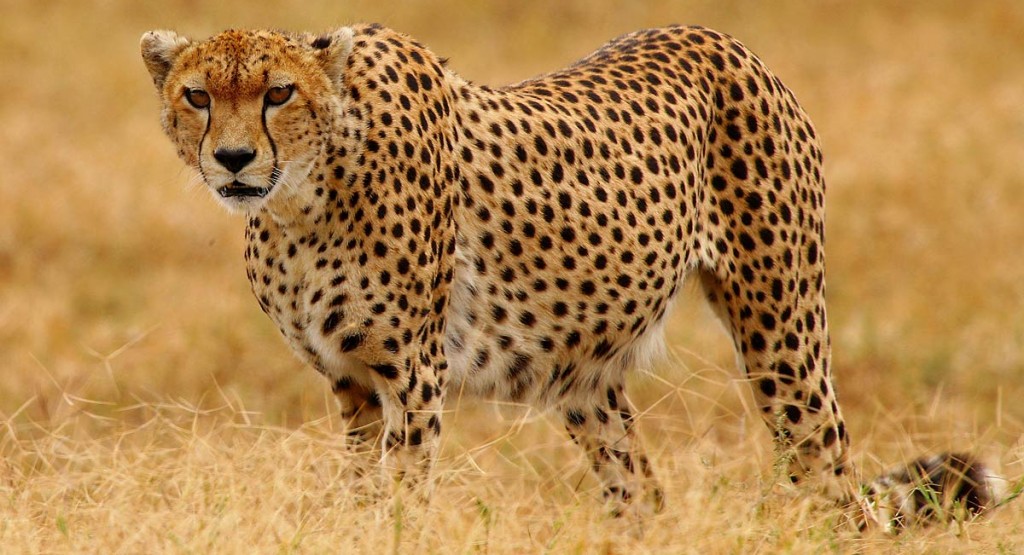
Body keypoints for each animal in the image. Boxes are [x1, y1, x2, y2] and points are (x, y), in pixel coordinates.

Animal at [140, 25, 1003, 532]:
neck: (303, 201)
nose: (234, 159)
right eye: (198, 95)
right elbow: (358, 497)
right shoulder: (352, 385)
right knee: (643, 494)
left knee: (829, 481)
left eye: (278, 92)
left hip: (783, 341)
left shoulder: (413, 377)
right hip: (586, 379)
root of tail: (717, 36)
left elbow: (404, 496)